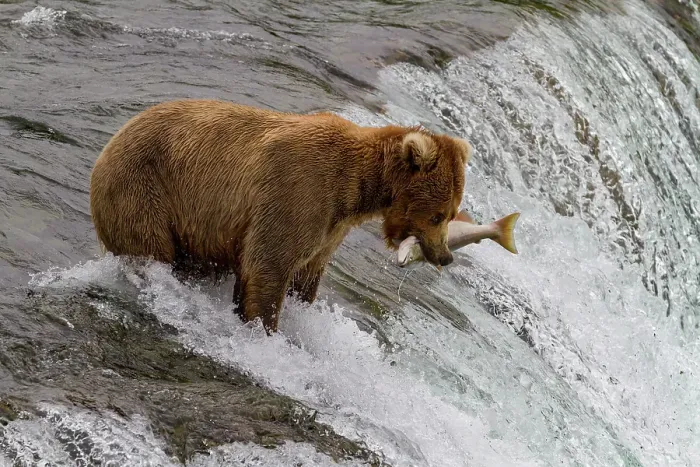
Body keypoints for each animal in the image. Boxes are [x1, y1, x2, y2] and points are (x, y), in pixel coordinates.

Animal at [89, 99, 472, 334]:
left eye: (452, 212)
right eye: (439, 216)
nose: (445, 256)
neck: (358, 189)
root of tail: (110, 144)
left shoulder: (330, 229)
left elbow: (306, 276)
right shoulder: (297, 192)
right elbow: (269, 266)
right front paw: (264, 329)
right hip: (145, 192)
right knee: (151, 248)